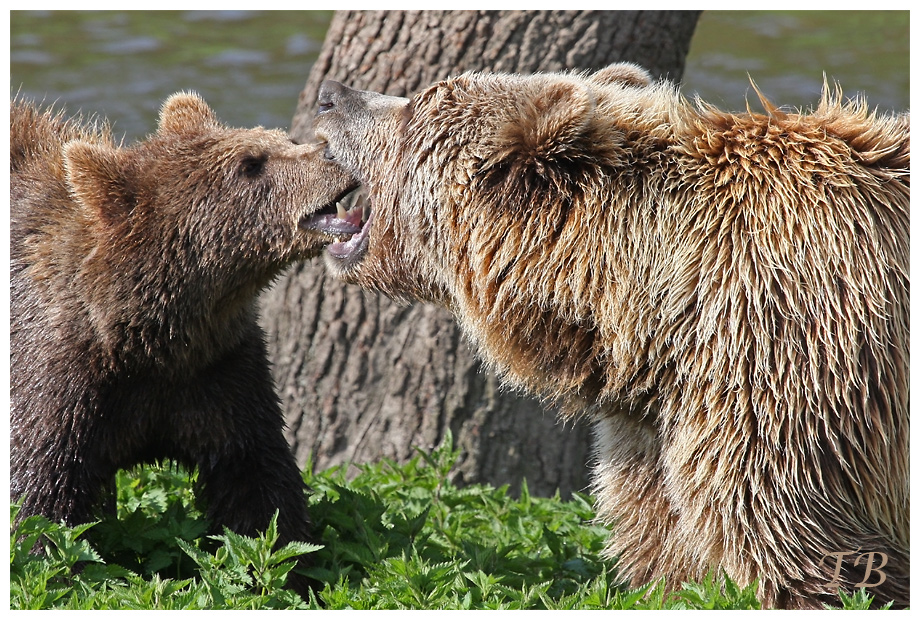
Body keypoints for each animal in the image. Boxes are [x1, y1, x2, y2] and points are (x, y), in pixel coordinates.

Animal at [10, 93, 362, 596]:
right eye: (250, 163)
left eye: (284, 139)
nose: (333, 151)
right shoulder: (58, 375)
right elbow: (42, 490)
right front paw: (53, 568)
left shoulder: (217, 371)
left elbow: (255, 478)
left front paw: (285, 569)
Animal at [308, 64, 904, 612]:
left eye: (417, 106)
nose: (330, 95)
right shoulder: (654, 427)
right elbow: (664, 543)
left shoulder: (788, 368)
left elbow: (802, 549)